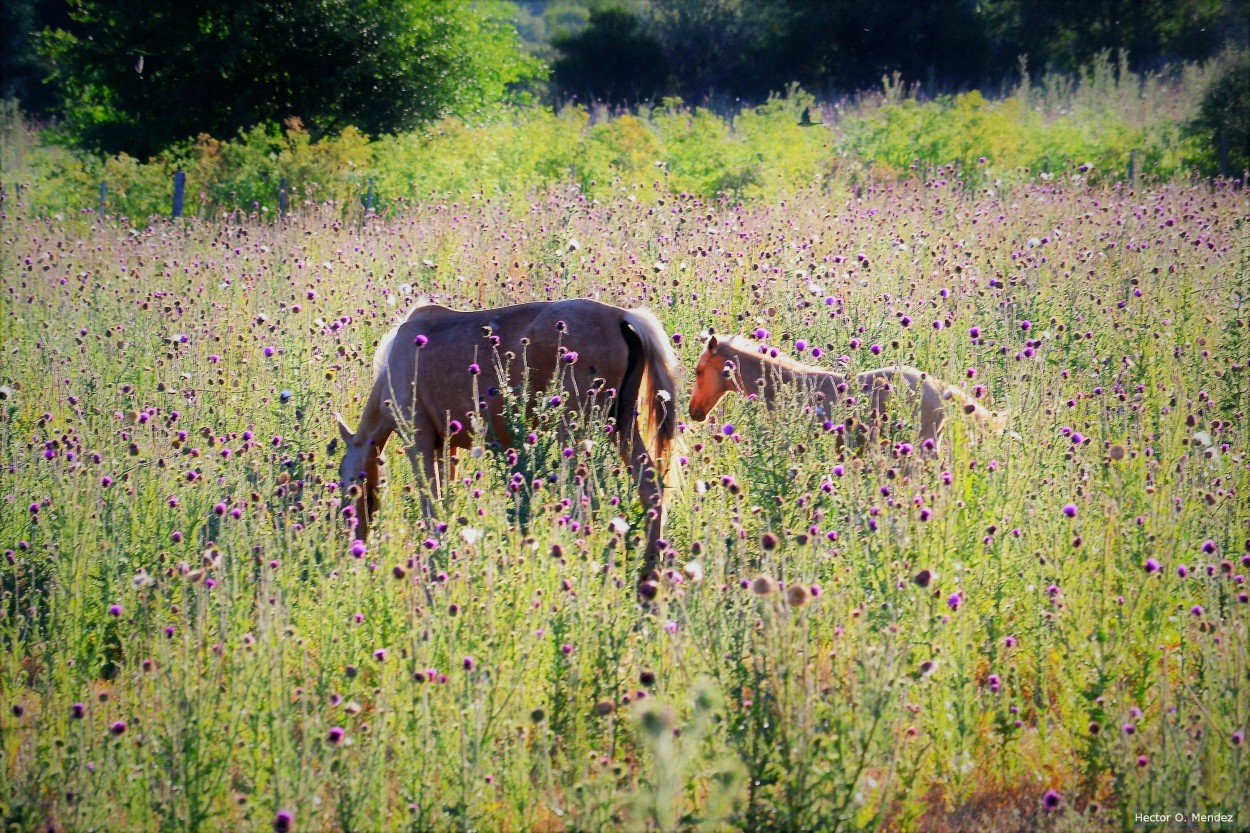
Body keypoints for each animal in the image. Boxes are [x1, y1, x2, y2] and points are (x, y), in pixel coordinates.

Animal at [337, 298, 680, 577]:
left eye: (349, 483)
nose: (355, 541)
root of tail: (622, 316)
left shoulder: (418, 438)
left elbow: (430, 502)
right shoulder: (445, 446)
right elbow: (444, 497)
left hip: (576, 430)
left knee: (584, 499)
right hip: (621, 424)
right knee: (650, 487)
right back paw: (650, 567)